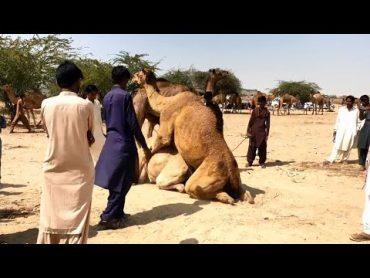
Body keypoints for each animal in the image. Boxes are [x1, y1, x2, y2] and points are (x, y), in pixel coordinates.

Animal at [133, 68, 254, 205]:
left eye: (138, 74)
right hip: (237, 183)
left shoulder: (166, 121)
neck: (166, 102)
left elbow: (155, 146)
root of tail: (232, 176)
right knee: (247, 195)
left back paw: (224, 196)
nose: (132, 78)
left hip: (206, 176)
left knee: (195, 189)